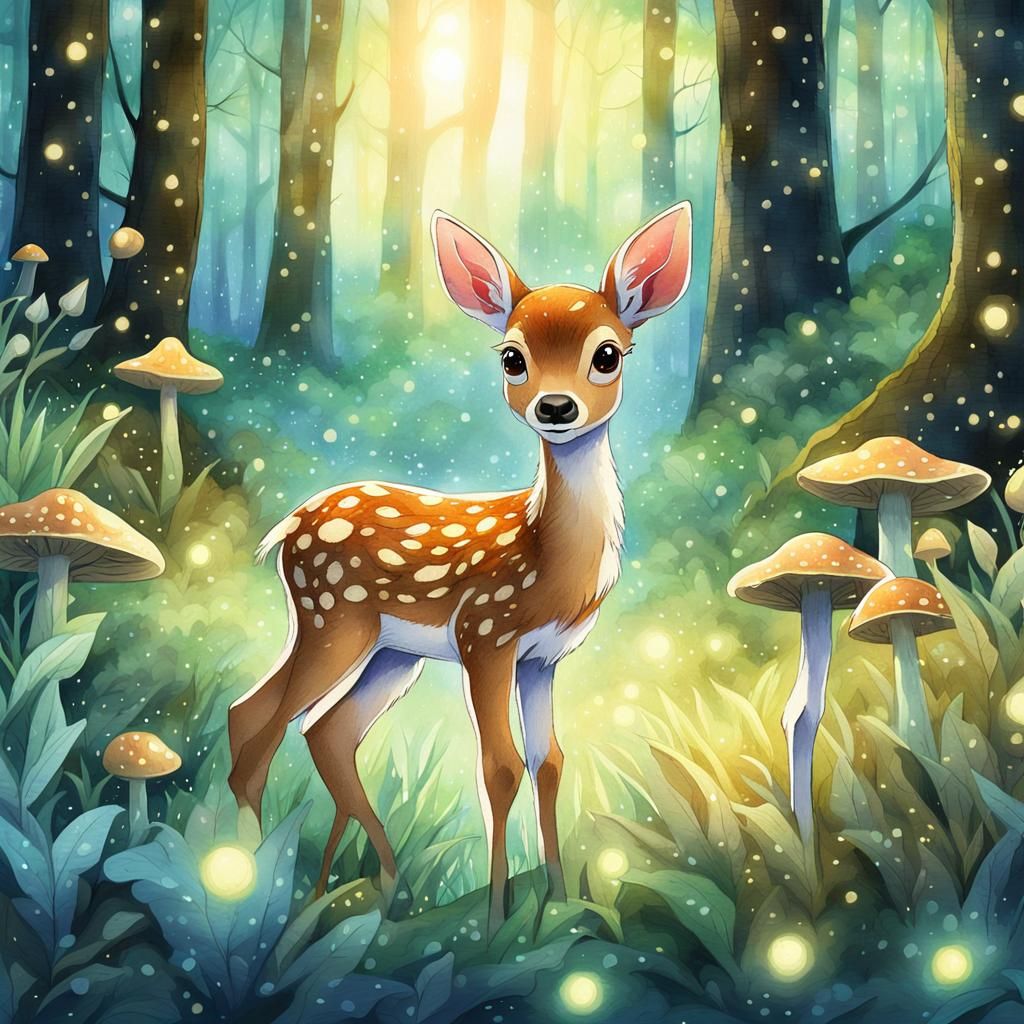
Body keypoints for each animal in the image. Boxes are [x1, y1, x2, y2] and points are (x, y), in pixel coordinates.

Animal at [227, 201, 693, 937]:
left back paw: (374, 886)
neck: (548, 560)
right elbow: (498, 766)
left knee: (322, 729)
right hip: (332, 617)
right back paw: (249, 883)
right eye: (512, 356)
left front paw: (559, 901)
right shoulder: (486, 635)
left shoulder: (544, 658)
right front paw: (498, 919)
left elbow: (550, 763)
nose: (555, 408)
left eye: (607, 353)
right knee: (259, 722)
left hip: (394, 653)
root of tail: (291, 524)